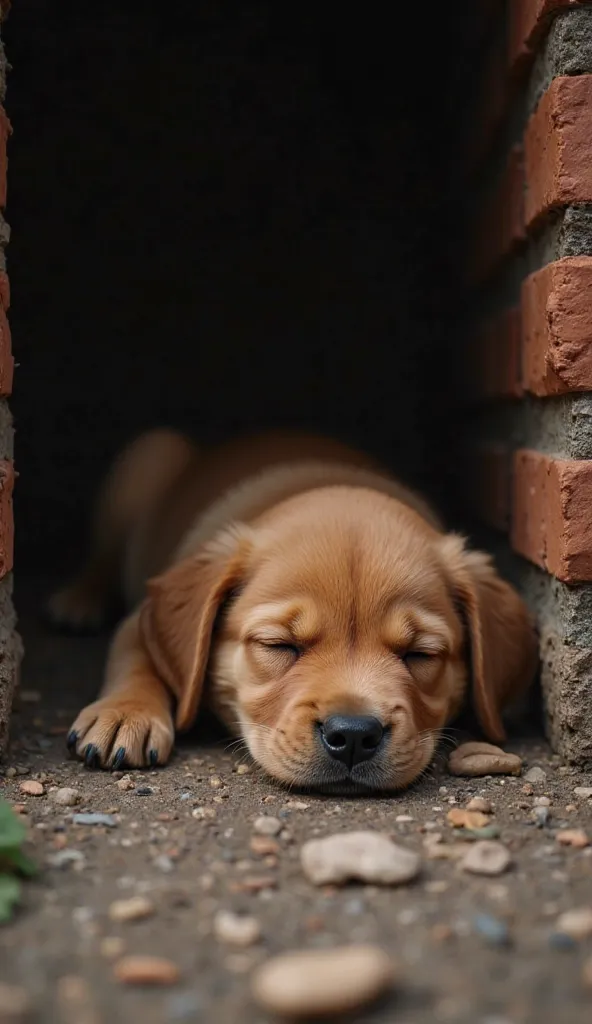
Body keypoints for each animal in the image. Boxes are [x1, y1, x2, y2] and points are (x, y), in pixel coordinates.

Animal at [48, 430, 536, 790]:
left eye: (420, 655)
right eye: (278, 645)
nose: (353, 735)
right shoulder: (140, 619)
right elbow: (136, 657)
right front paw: (124, 714)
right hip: (147, 457)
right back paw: (77, 599)